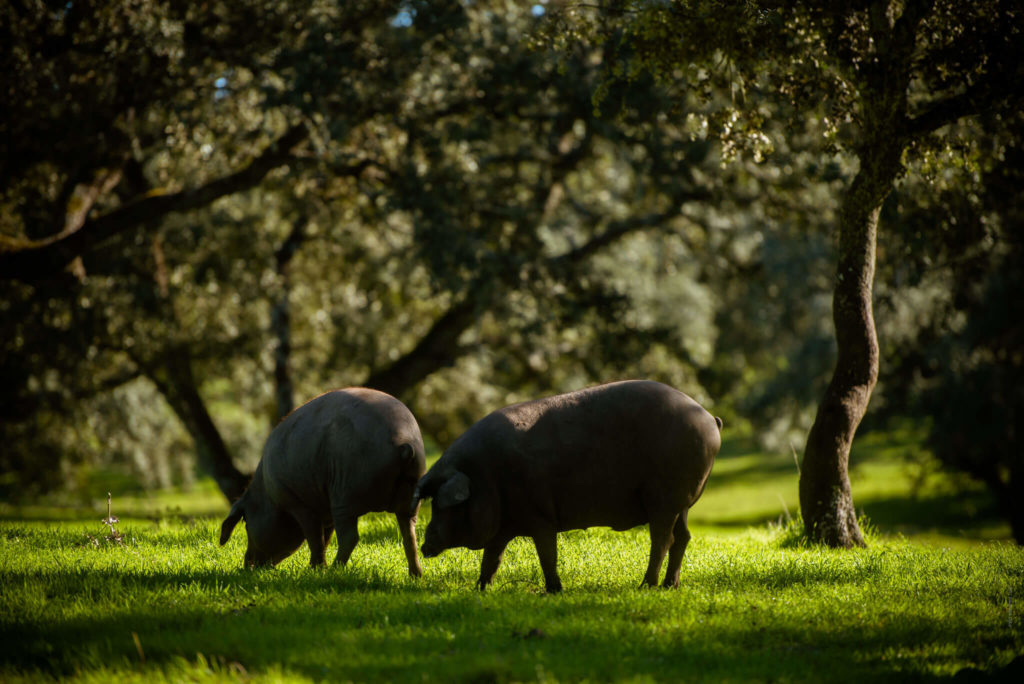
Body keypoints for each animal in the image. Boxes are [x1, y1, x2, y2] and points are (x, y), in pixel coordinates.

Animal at [218, 387, 425, 573]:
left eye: (246, 523)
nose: (247, 566)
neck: (267, 494)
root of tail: (404, 443)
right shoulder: (325, 512)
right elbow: (325, 538)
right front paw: (317, 568)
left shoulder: (298, 502)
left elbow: (314, 538)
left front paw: (314, 570)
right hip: (411, 496)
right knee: (409, 533)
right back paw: (416, 575)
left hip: (346, 492)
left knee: (351, 537)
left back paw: (334, 570)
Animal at [411, 378, 724, 593]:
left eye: (443, 506)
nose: (425, 546)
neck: (484, 475)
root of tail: (709, 418)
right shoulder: (503, 527)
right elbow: (491, 559)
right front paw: (479, 590)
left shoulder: (540, 517)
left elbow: (547, 555)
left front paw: (554, 591)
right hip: (682, 501)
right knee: (683, 537)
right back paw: (670, 586)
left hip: (664, 498)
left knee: (663, 540)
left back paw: (646, 586)